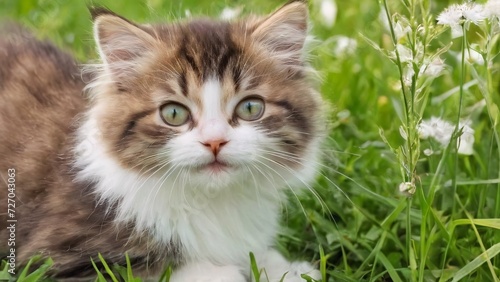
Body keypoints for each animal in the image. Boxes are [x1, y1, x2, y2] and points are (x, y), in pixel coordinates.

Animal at [0, 1, 324, 280]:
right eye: (173, 113)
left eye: (250, 108)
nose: (215, 142)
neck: (211, 201)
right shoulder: (56, 258)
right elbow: (176, 271)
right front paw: (225, 271)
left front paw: (288, 269)